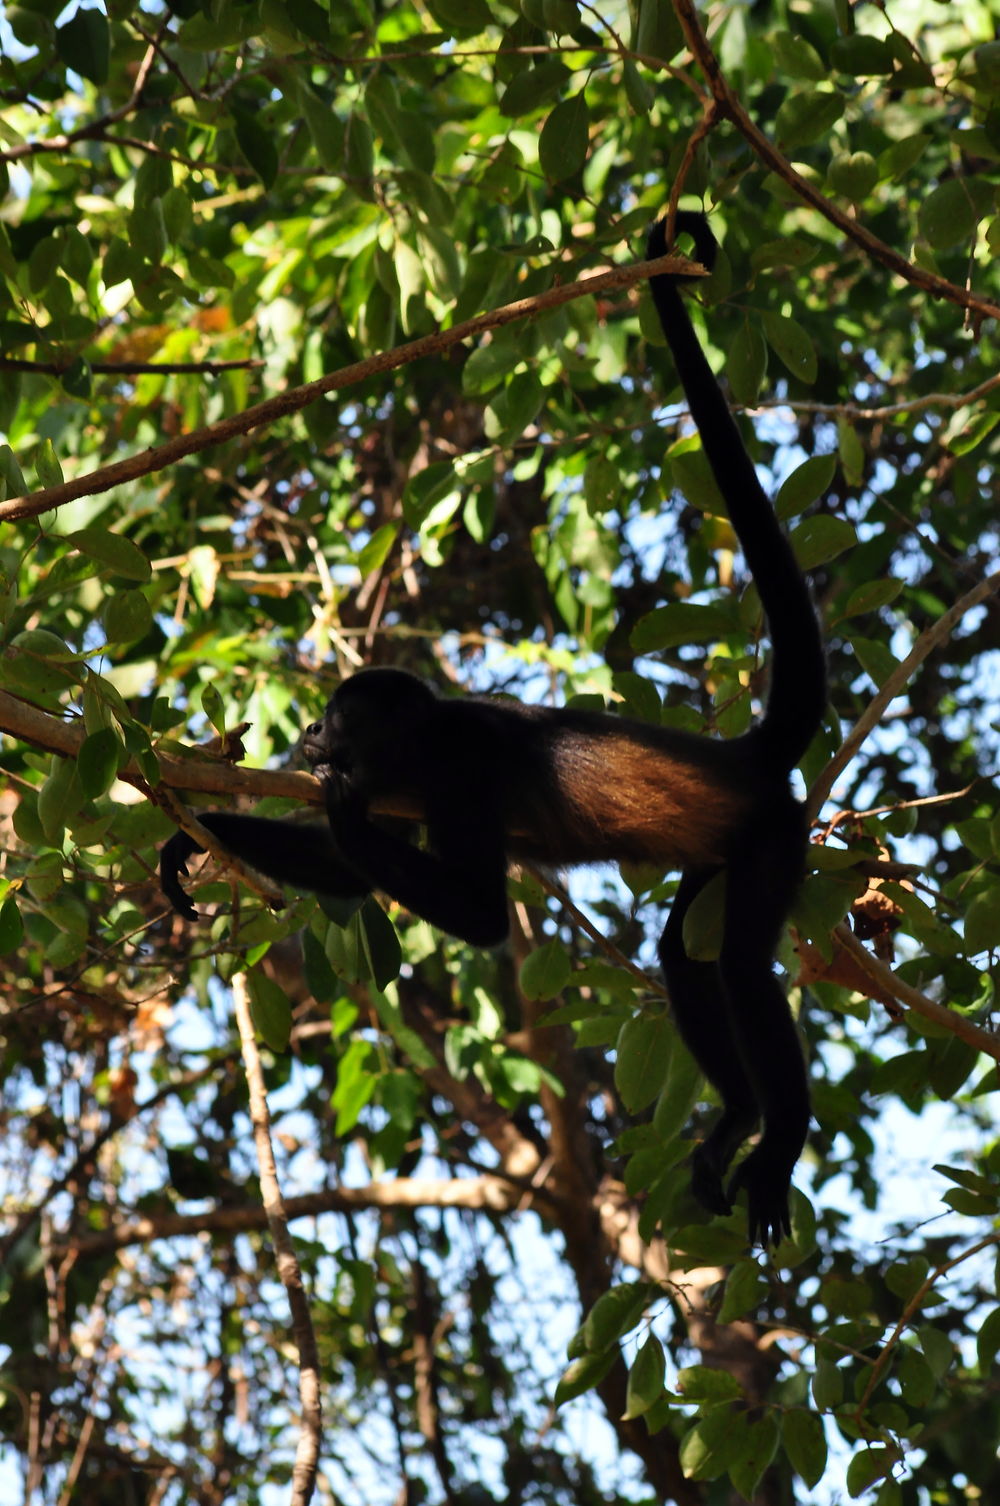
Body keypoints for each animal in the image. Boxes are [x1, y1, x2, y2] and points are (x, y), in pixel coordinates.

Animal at [161, 215, 825, 1246]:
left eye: (335, 715)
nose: (307, 729)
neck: (418, 747)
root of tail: (742, 754)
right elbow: (346, 874)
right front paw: (182, 839)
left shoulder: (458, 779)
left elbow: (469, 911)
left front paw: (335, 812)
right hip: (721, 848)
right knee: (687, 953)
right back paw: (738, 1121)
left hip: (773, 835)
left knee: (747, 970)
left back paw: (779, 1137)